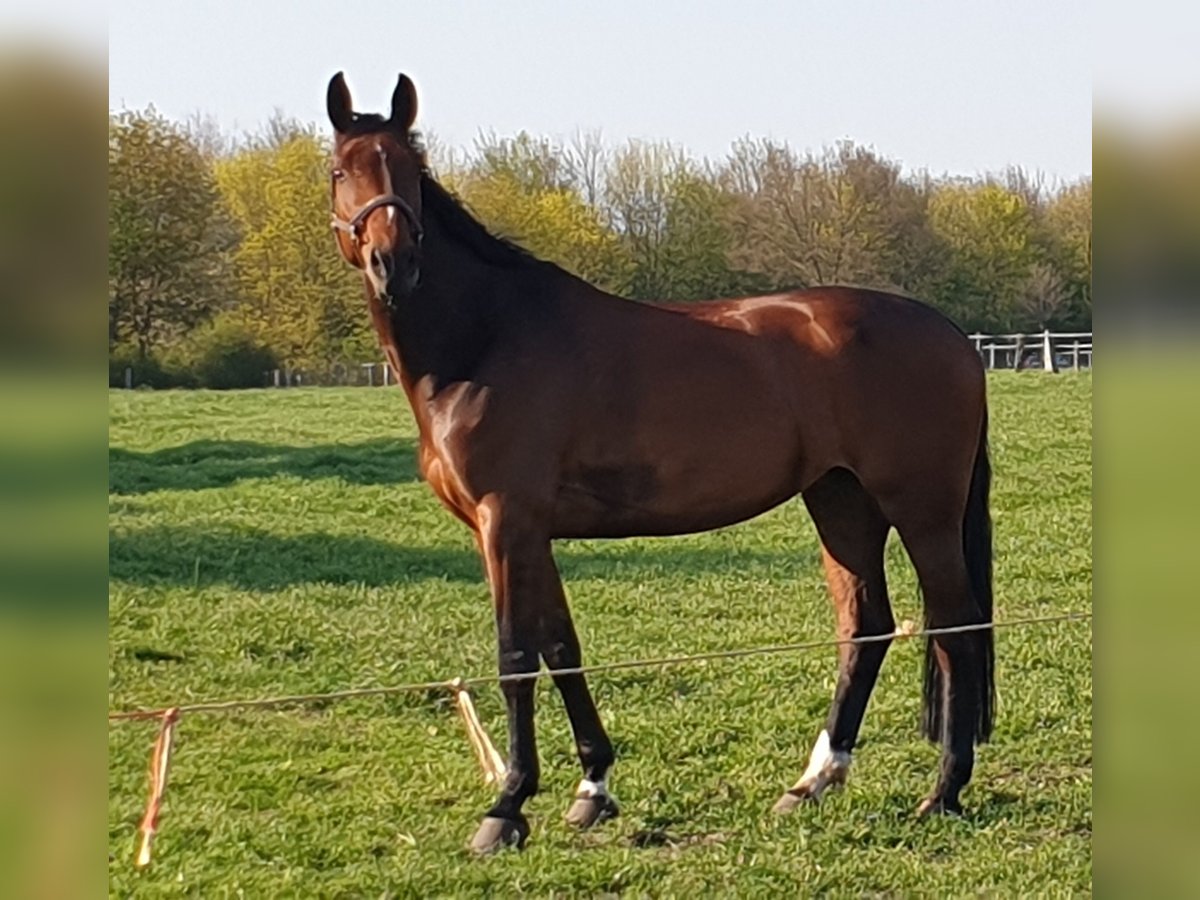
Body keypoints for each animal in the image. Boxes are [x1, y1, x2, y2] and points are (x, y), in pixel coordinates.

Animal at [321, 74, 993, 854]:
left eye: (409, 169)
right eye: (341, 170)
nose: (392, 262)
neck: (486, 341)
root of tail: (953, 336)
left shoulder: (505, 522)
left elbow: (516, 658)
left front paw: (507, 808)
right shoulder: (531, 533)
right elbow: (562, 647)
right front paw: (592, 788)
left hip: (922, 509)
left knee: (955, 629)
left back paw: (943, 792)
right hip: (840, 501)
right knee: (866, 627)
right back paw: (811, 784)